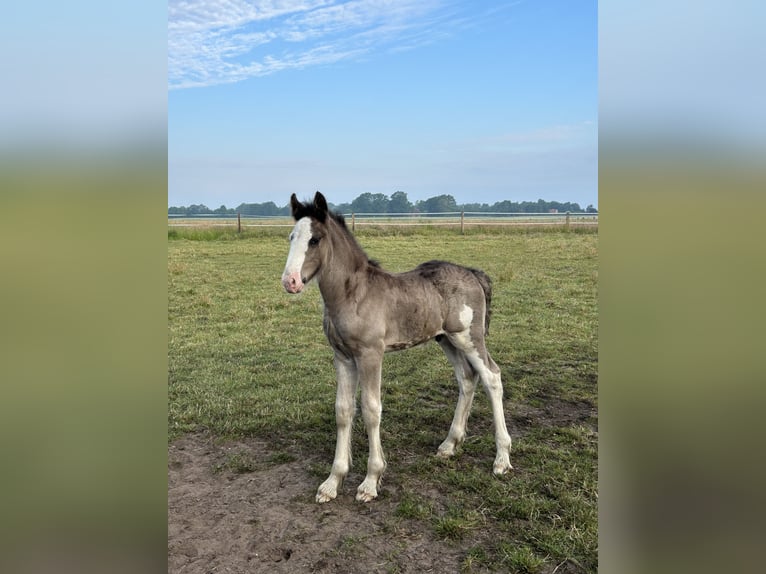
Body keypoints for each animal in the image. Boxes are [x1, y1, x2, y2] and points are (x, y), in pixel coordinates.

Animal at [280, 192, 512, 504]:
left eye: (314, 240)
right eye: (292, 236)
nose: (290, 281)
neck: (353, 295)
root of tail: (473, 274)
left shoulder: (370, 355)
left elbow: (371, 410)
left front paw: (370, 481)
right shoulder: (343, 358)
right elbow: (343, 410)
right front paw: (332, 483)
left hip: (469, 337)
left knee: (491, 377)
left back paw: (502, 459)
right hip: (446, 340)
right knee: (467, 378)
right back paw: (450, 444)